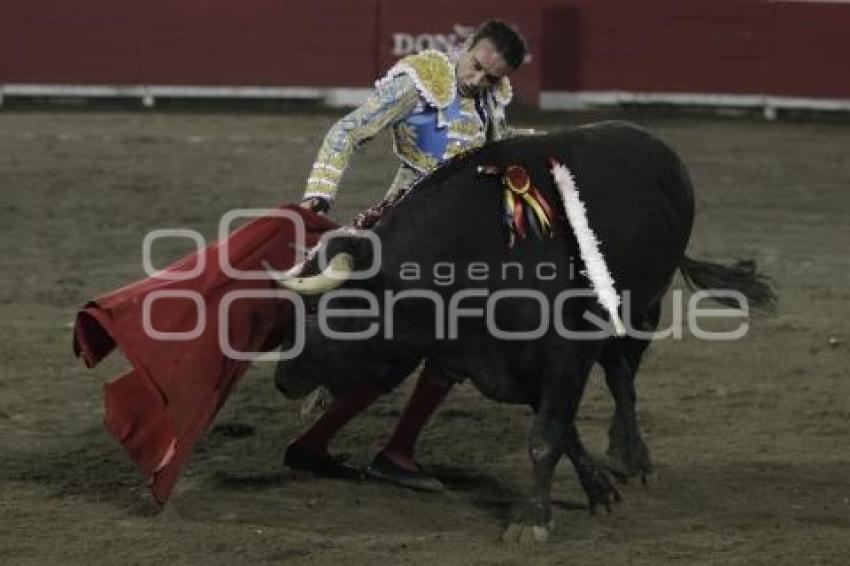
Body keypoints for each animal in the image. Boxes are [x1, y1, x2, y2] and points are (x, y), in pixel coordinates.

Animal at [274, 122, 776, 544]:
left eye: (328, 309)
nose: (283, 379)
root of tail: (660, 149)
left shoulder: (565, 354)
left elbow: (545, 437)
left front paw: (532, 519)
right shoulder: (511, 363)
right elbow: (563, 433)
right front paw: (600, 492)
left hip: (645, 308)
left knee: (624, 380)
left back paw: (634, 457)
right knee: (618, 373)